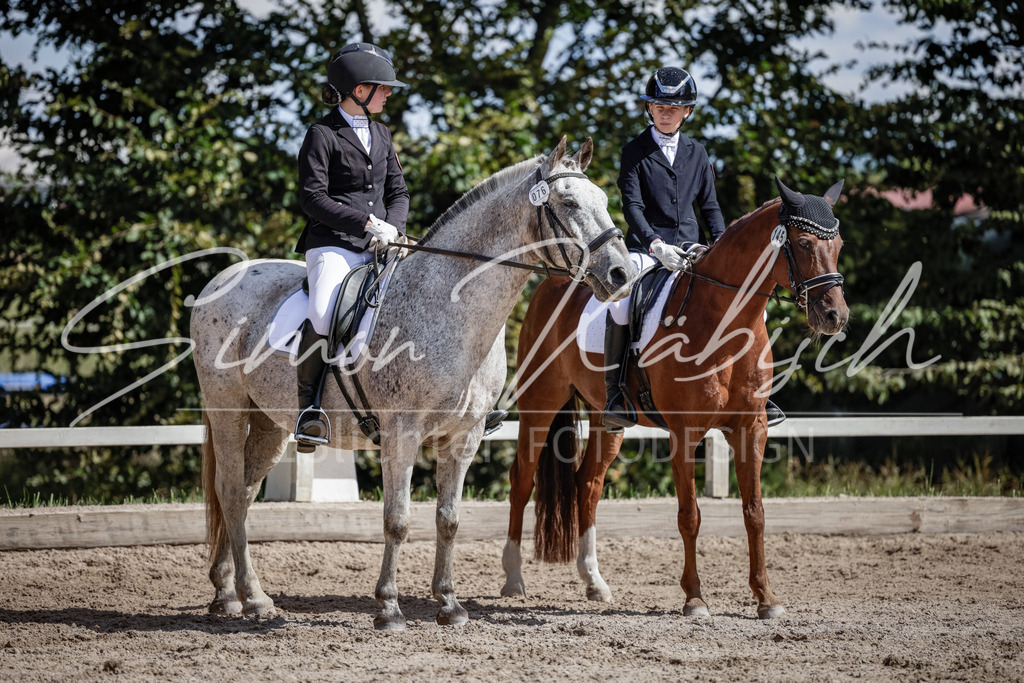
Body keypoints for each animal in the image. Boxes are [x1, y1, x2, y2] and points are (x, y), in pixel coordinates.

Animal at [190, 137, 636, 629]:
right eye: (569, 202)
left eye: (606, 201)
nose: (622, 274)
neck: (452, 310)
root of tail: (223, 277)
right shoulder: (401, 434)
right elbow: (398, 520)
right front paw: (388, 608)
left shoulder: (464, 437)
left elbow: (448, 519)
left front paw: (449, 604)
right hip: (229, 409)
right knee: (231, 492)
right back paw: (247, 597)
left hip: (271, 422)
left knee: (243, 492)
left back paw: (232, 593)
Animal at [500, 177, 849, 619]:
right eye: (803, 243)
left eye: (839, 245)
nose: (835, 317)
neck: (722, 321)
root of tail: (553, 282)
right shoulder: (685, 432)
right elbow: (690, 516)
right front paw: (695, 598)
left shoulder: (751, 428)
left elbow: (755, 512)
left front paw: (766, 598)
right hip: (540, 404)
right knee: (522, 480)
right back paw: (513, 579)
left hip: (607, 419)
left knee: (588, 484)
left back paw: (594, 582)